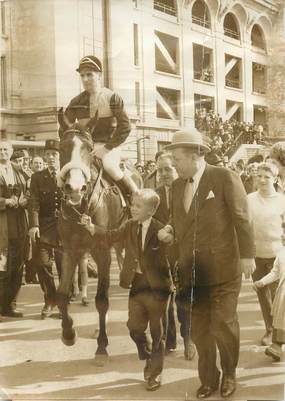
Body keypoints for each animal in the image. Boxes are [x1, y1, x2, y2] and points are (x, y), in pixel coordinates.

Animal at [55, 126, 126, 366]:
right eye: (62, 147)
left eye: (88, 148)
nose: (75, 188)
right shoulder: (70, 250)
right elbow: (62, 293)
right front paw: (68, 334)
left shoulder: (102, 252)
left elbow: (102, 300)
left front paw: (102, 347)